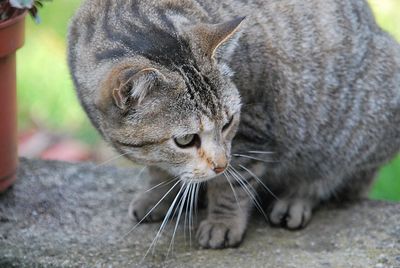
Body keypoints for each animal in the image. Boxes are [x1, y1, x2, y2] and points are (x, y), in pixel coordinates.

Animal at [68, 0, 400, 249]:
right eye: (185, 140)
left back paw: (296, 199)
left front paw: (223, 223)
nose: (219, 164)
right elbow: (159, 169)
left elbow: (232, 185)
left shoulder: (251, 134)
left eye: (228, 123)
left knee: (333, 178)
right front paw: (159, 193)